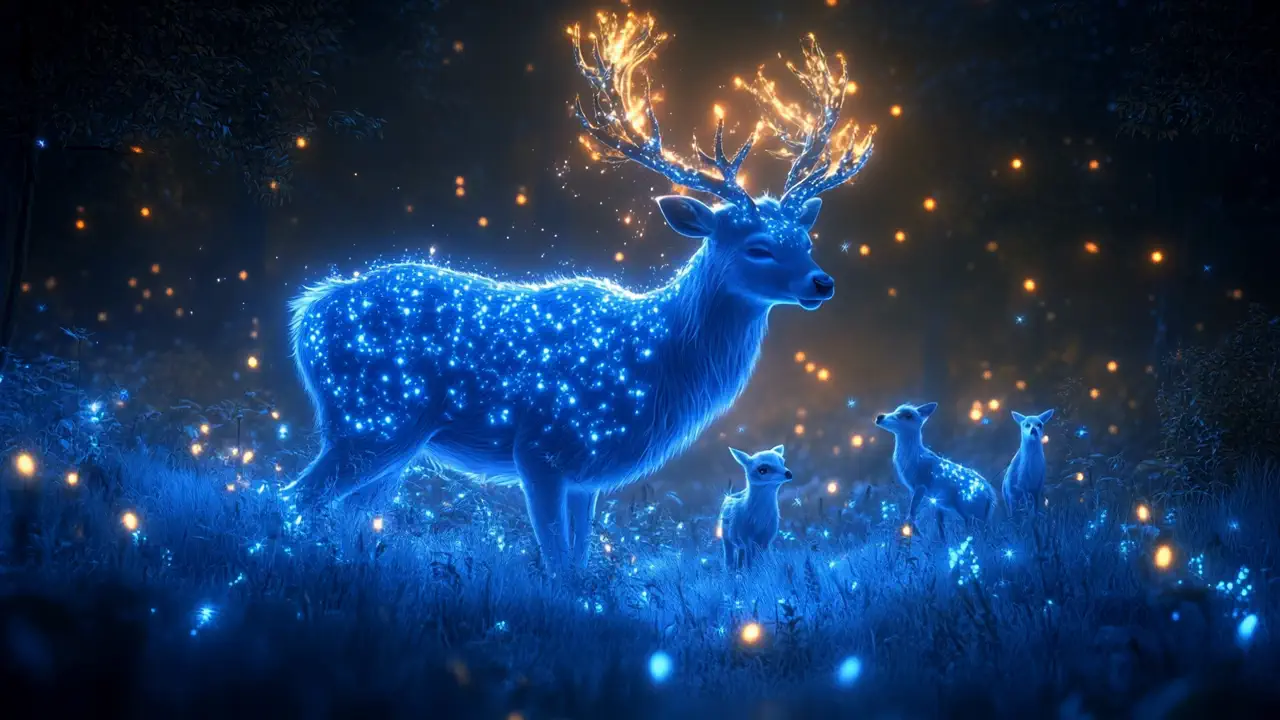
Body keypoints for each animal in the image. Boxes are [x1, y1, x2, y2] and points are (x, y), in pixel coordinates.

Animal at [286, 12, 876, 569]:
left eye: (805, 238)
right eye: (757, 247)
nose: (822, 281)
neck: (653, 363)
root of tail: (306, 313)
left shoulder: (586, 471)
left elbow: (577, 561)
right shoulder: (542, 445)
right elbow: (557, 563)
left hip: (395, 438)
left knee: (350, 512)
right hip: (372, 416)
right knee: (292, 497)